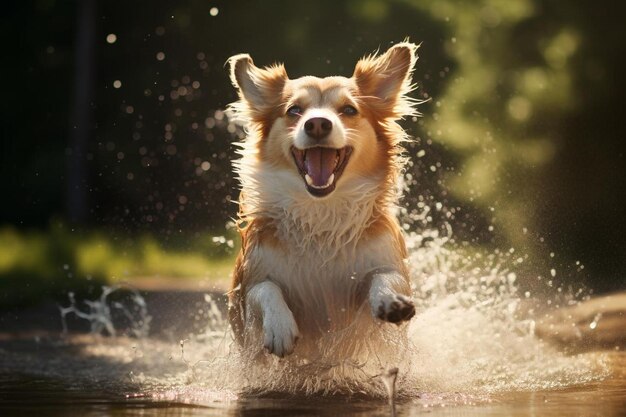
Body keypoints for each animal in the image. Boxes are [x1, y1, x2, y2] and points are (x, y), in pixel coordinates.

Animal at [227, 44, 416, 360]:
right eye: (294, 110)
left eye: (349, 109)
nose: (317, 124)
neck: (321, 212)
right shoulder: (248, 279)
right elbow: (264, 289)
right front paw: (279, 326)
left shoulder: (390, 263)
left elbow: (386, 277)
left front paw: (391, 300)